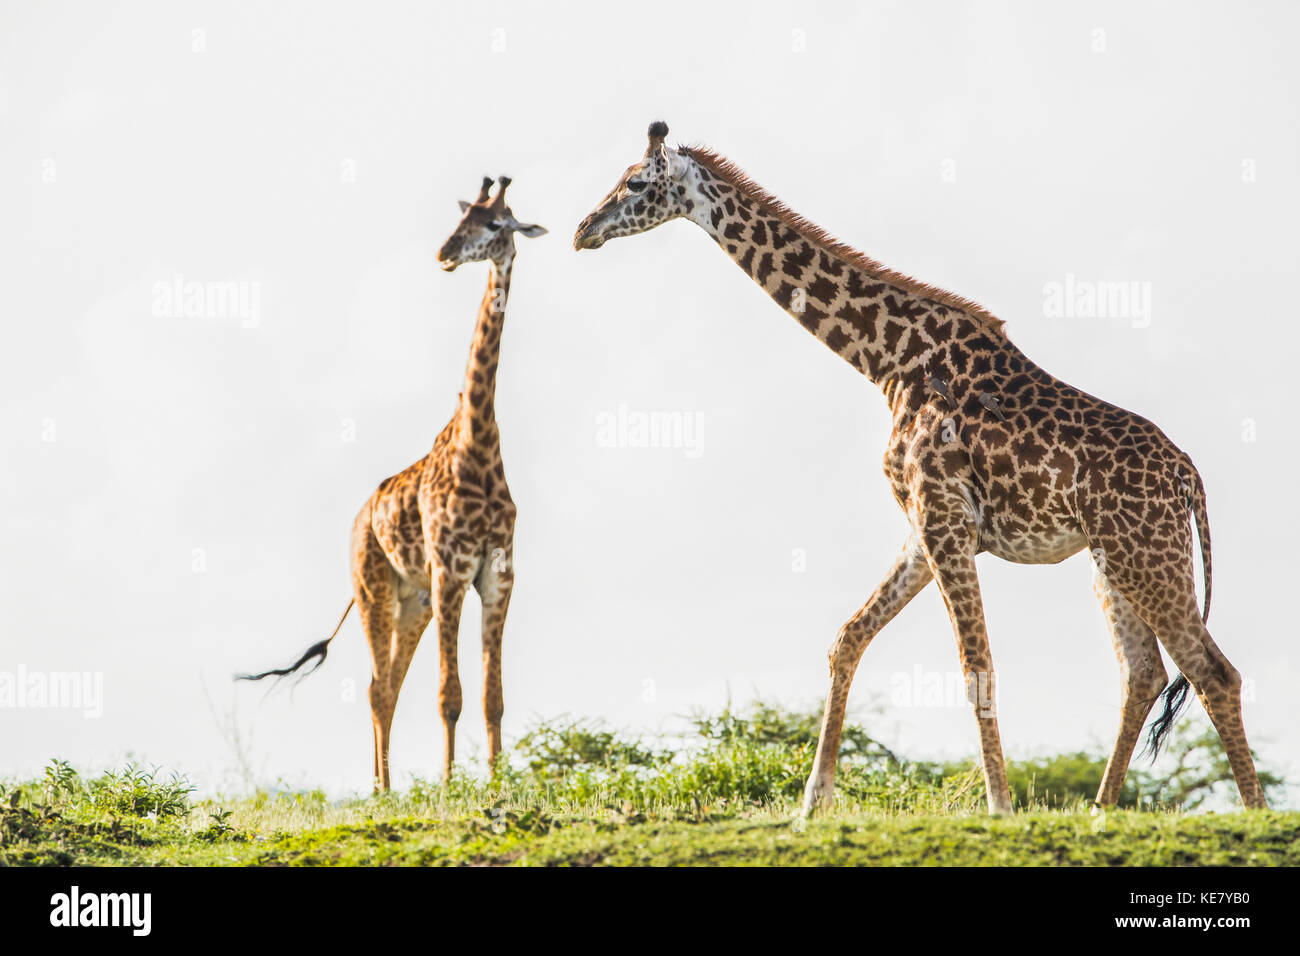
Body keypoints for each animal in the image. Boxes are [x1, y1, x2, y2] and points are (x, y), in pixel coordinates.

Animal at [240, 175, 548, 790]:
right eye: (462, 220)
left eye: (495, 223)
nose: (445, 253)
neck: (479, 445)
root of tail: (359, 519)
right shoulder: (451, 570)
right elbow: (450, 695)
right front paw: (452, 786)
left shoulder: (497, 574)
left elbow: (492, 697)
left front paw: (498, 783)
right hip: (373, 589)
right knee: (378, 689)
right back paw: (383, 790)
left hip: (414, 602)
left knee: (388, 687)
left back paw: (387, 785)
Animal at [574, 121, 1263, 816]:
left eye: (635, 182)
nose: (583, 229)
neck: (887, 361)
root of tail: (1188, 476)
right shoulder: (924, 524)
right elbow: (847, 638)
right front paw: (810, 802)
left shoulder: (944, 517)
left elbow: (975, 665)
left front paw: (999, 807)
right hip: (1112, 561)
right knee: (1143, 671)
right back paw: (1100, 810)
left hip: (1147, 556)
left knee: (1213, 672)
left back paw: (1253, 813)